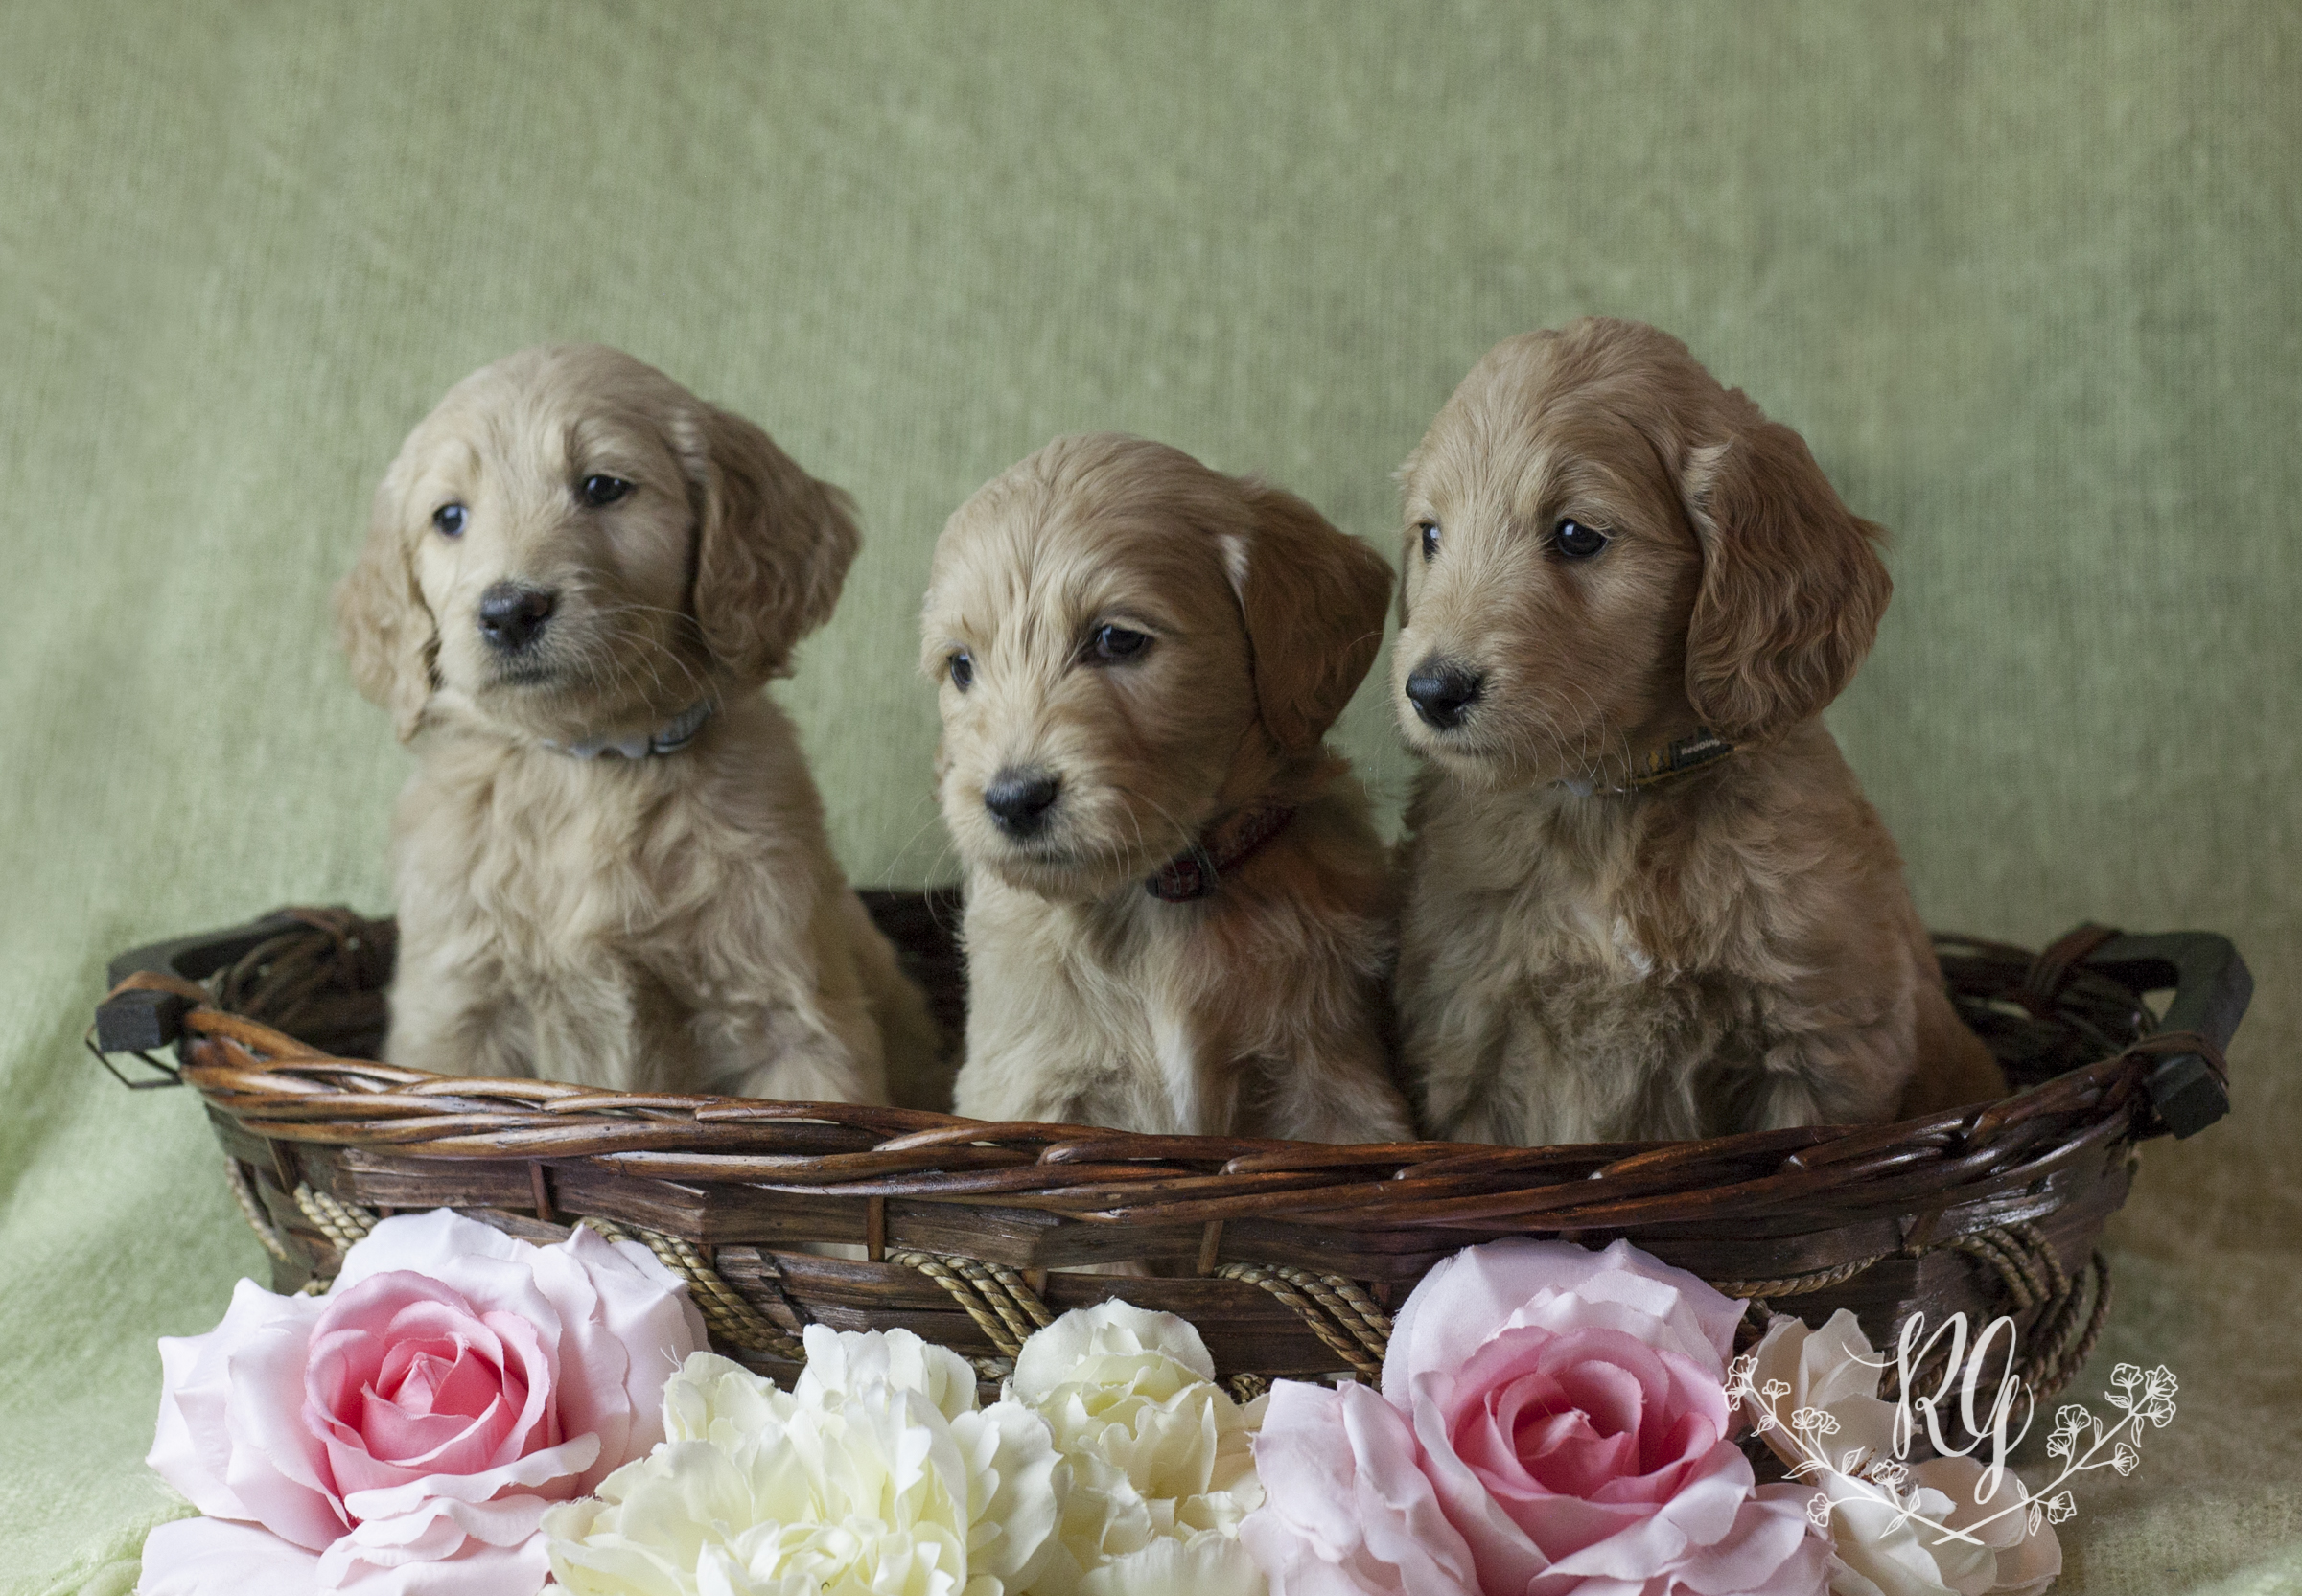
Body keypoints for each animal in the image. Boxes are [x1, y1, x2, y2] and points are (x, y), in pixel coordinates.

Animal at [336, 342, 930, 1100]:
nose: (510, 610)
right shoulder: (453, 1016)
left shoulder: (794, 1018)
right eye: (449, 518)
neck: (591, 766)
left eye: (602, 486)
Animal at [925, 430, 1408, 1137]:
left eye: (1116, 639)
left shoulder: (1333, 1087)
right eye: (961, 666)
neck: (1157, 900)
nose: (1013, 800)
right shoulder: (1026, 1082)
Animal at [1390, 319, 2007, 1146]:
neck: (1616, 800)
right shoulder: (1468, 1044)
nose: (1432, 690)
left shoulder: (1817, 1045)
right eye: (1429, 535)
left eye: (1576, 534)